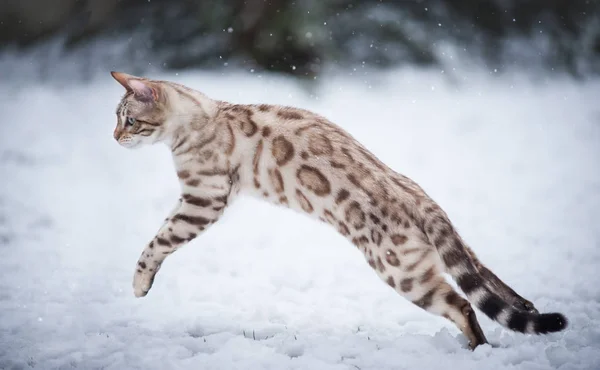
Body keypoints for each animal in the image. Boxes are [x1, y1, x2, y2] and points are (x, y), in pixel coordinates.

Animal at [111, 70, 568, 350]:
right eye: (117, 119)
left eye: (129, 121)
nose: (114, 138)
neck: (202, 115)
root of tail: (421, 199)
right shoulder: (198, 198)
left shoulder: (202, 200)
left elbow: (156, 243)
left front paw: (138, 286)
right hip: (448, 253)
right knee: (490, 282)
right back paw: (523, 313)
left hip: (400, 272)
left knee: (462, 305)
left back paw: (477, 350)